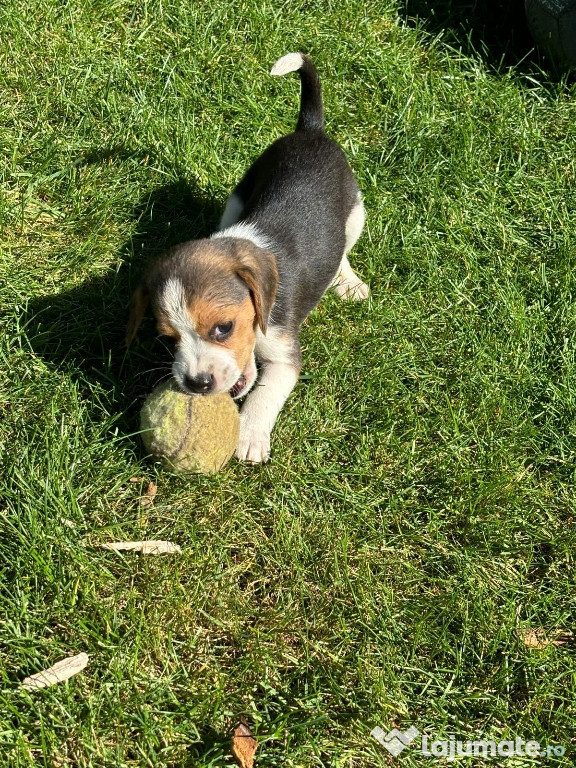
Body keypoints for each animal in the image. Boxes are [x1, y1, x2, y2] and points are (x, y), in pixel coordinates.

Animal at [127, 55, 368, 462]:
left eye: (223, 328)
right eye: (167, 339)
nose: (197, 382)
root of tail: (310, 130)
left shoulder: (285, 354)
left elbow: (264, 395)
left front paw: (250, 436)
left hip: (355, 213)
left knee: (344, 251)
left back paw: (348, 282)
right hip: (237, 196)